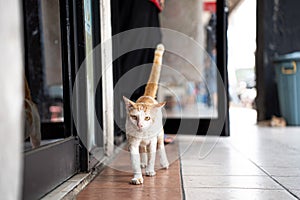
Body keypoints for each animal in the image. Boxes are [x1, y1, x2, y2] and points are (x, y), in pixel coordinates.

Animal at [122, 43, 169, 184]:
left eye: (147, 118)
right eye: (134, 117)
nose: (140, 125)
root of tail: (147, 96)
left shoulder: (152, 141)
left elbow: (152, 156)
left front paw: (150, 170)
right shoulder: (132, 143)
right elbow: (135, 160)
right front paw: (137, 177)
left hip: (160, 134)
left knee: (160, 147)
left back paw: (164, 163)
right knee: (142, 149)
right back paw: (143, 162)